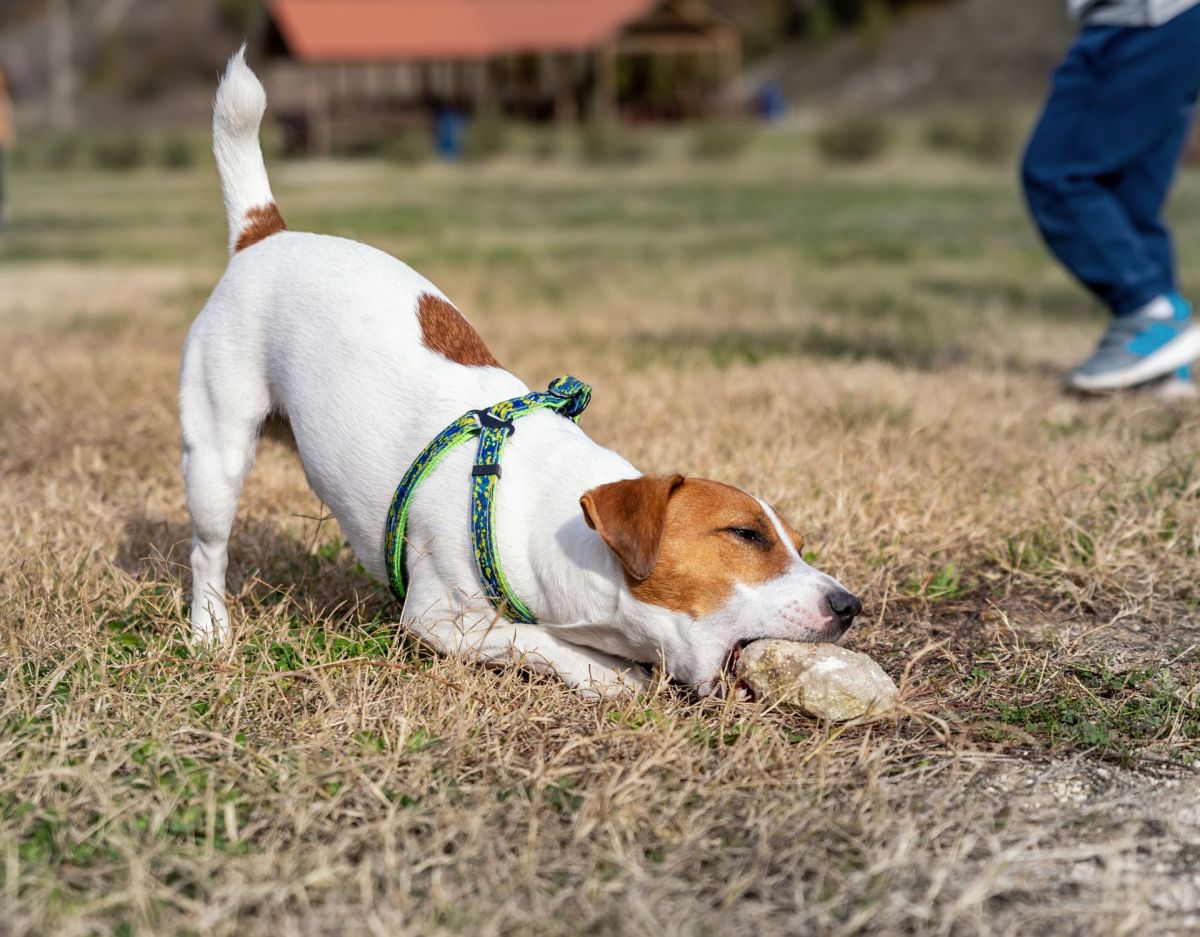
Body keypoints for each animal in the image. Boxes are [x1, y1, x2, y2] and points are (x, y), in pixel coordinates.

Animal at [180, 49, 864, 695]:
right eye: (746, 534)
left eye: (797, 542)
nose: (850, 604)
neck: (558, 528)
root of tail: (265, 233)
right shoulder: (439, 619)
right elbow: (532, 639)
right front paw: (607, 674)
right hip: (216, 453)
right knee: (208, 550)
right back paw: (210, 630)